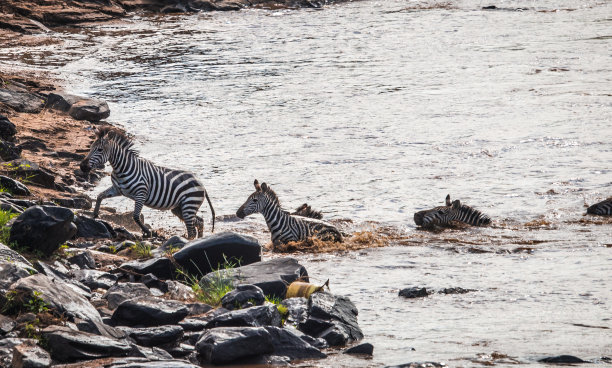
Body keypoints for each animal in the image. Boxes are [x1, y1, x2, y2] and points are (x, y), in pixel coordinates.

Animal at [79, 128, 214, 240]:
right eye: (91, 147)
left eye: (100, 149)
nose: (82, 166)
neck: (121, 168)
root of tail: (201, 184)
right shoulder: (117, 189)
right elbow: (100, 196)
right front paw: (95, 215)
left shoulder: (141, 193)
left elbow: (135, 216)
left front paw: (148, 232)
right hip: (179, 208)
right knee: (199, 222)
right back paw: (200, 239)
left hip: (188, 205)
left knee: (192, 231)